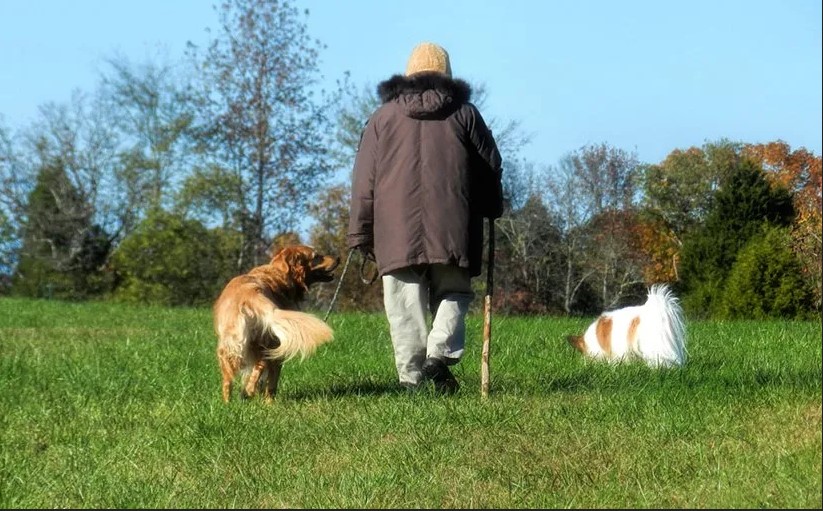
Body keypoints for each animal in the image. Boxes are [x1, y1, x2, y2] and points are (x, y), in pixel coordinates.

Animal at [216, 245, 342, 404]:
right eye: (316, 256)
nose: (338, 258)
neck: (280, 273)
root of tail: (250, 294)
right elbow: (271, 381)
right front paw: (268, 402)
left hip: (229, 346)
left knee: (229, 380)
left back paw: (228, 403)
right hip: (269, 343)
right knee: (261, 367)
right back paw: (254, 392)